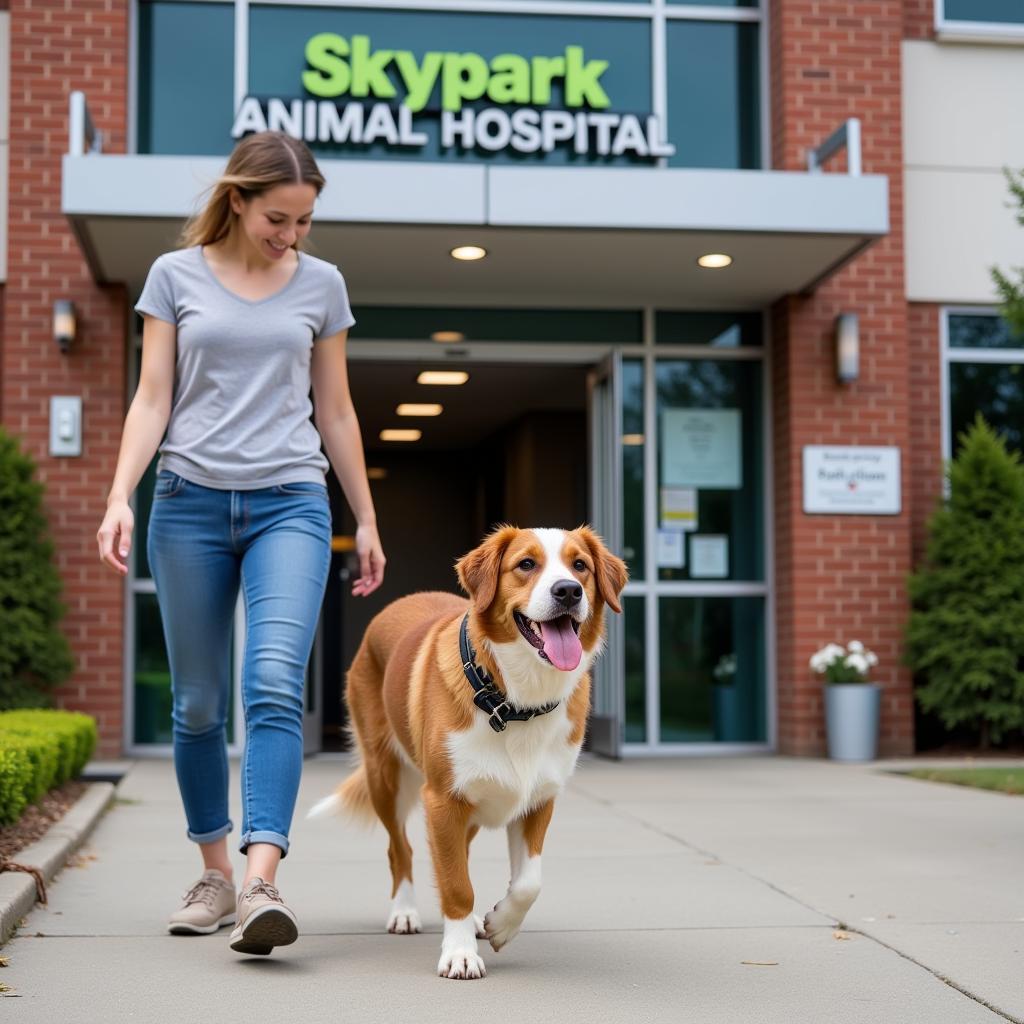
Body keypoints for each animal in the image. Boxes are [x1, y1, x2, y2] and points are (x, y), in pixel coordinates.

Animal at [307, 524, 626, 978]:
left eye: (579, 565)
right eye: (526, 564)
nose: (568, 591)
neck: (516, 701)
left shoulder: (538, 800)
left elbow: (529, 882)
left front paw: (500, 925)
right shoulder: (443, 799)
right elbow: (456, 883)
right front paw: (459, 953)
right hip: (385, 776)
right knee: (399, 849)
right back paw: (404, 911)